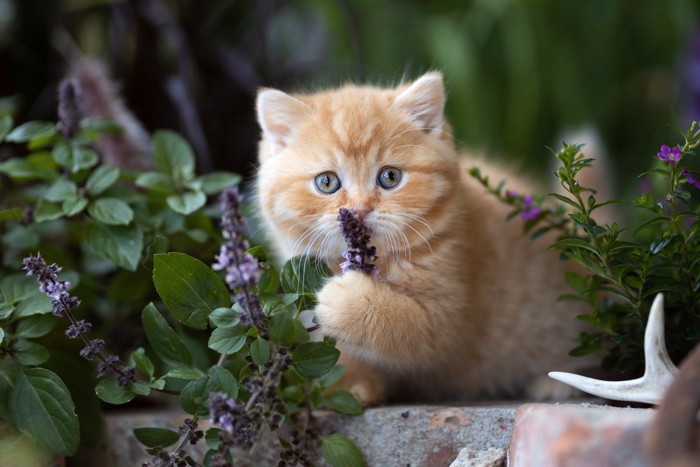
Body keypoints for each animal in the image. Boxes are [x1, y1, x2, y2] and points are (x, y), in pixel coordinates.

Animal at [252, 73, 592, 406]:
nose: (359, 211)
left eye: (390, 177)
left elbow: (408, 328)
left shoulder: (452, 317)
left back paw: (555, 384)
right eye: (327, 182)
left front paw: (348, 301)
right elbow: (342, 355)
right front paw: (349, 386)